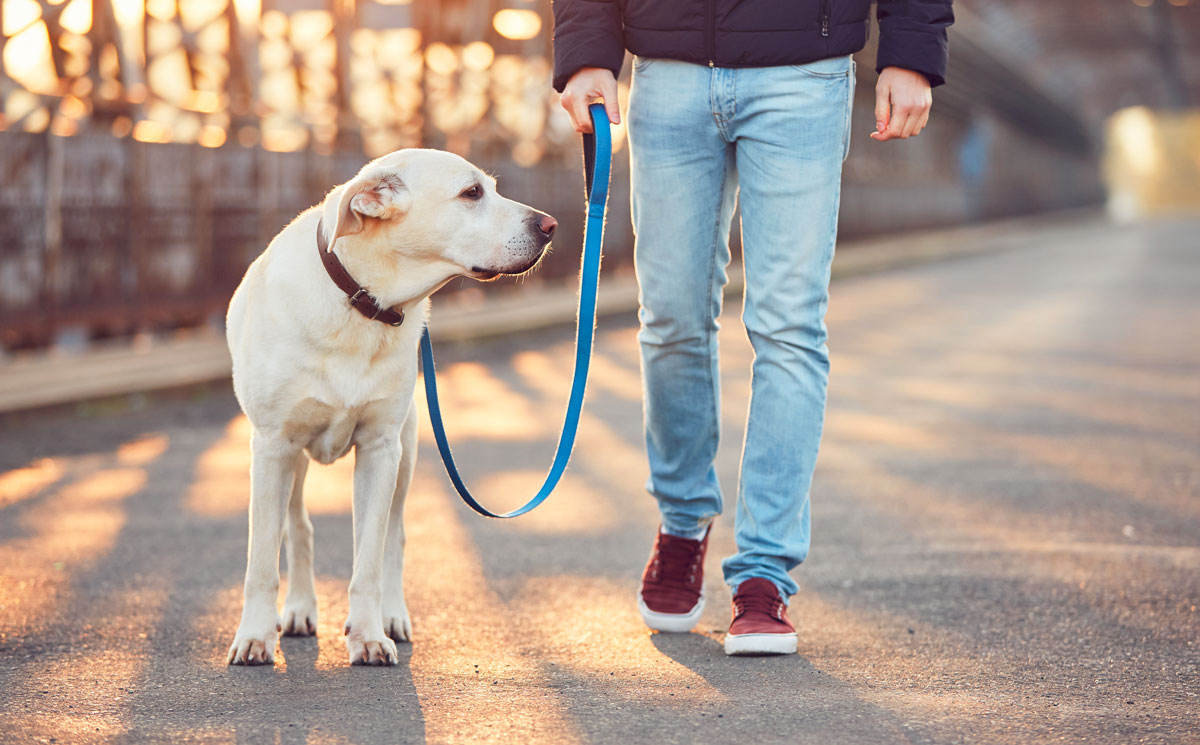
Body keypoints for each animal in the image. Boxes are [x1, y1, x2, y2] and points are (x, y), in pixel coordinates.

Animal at [224, 148, 552, 667]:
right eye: (472, 193)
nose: (551, 226)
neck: (362, 303)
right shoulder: (273, 447)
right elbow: (261, 560)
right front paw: (255, 635)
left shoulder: (381, 450)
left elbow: (370, 561)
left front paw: (368, 635)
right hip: (292, 460)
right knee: (297, 530)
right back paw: (298, 609)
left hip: (407, 452)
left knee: (392, 539)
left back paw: (392, 616)